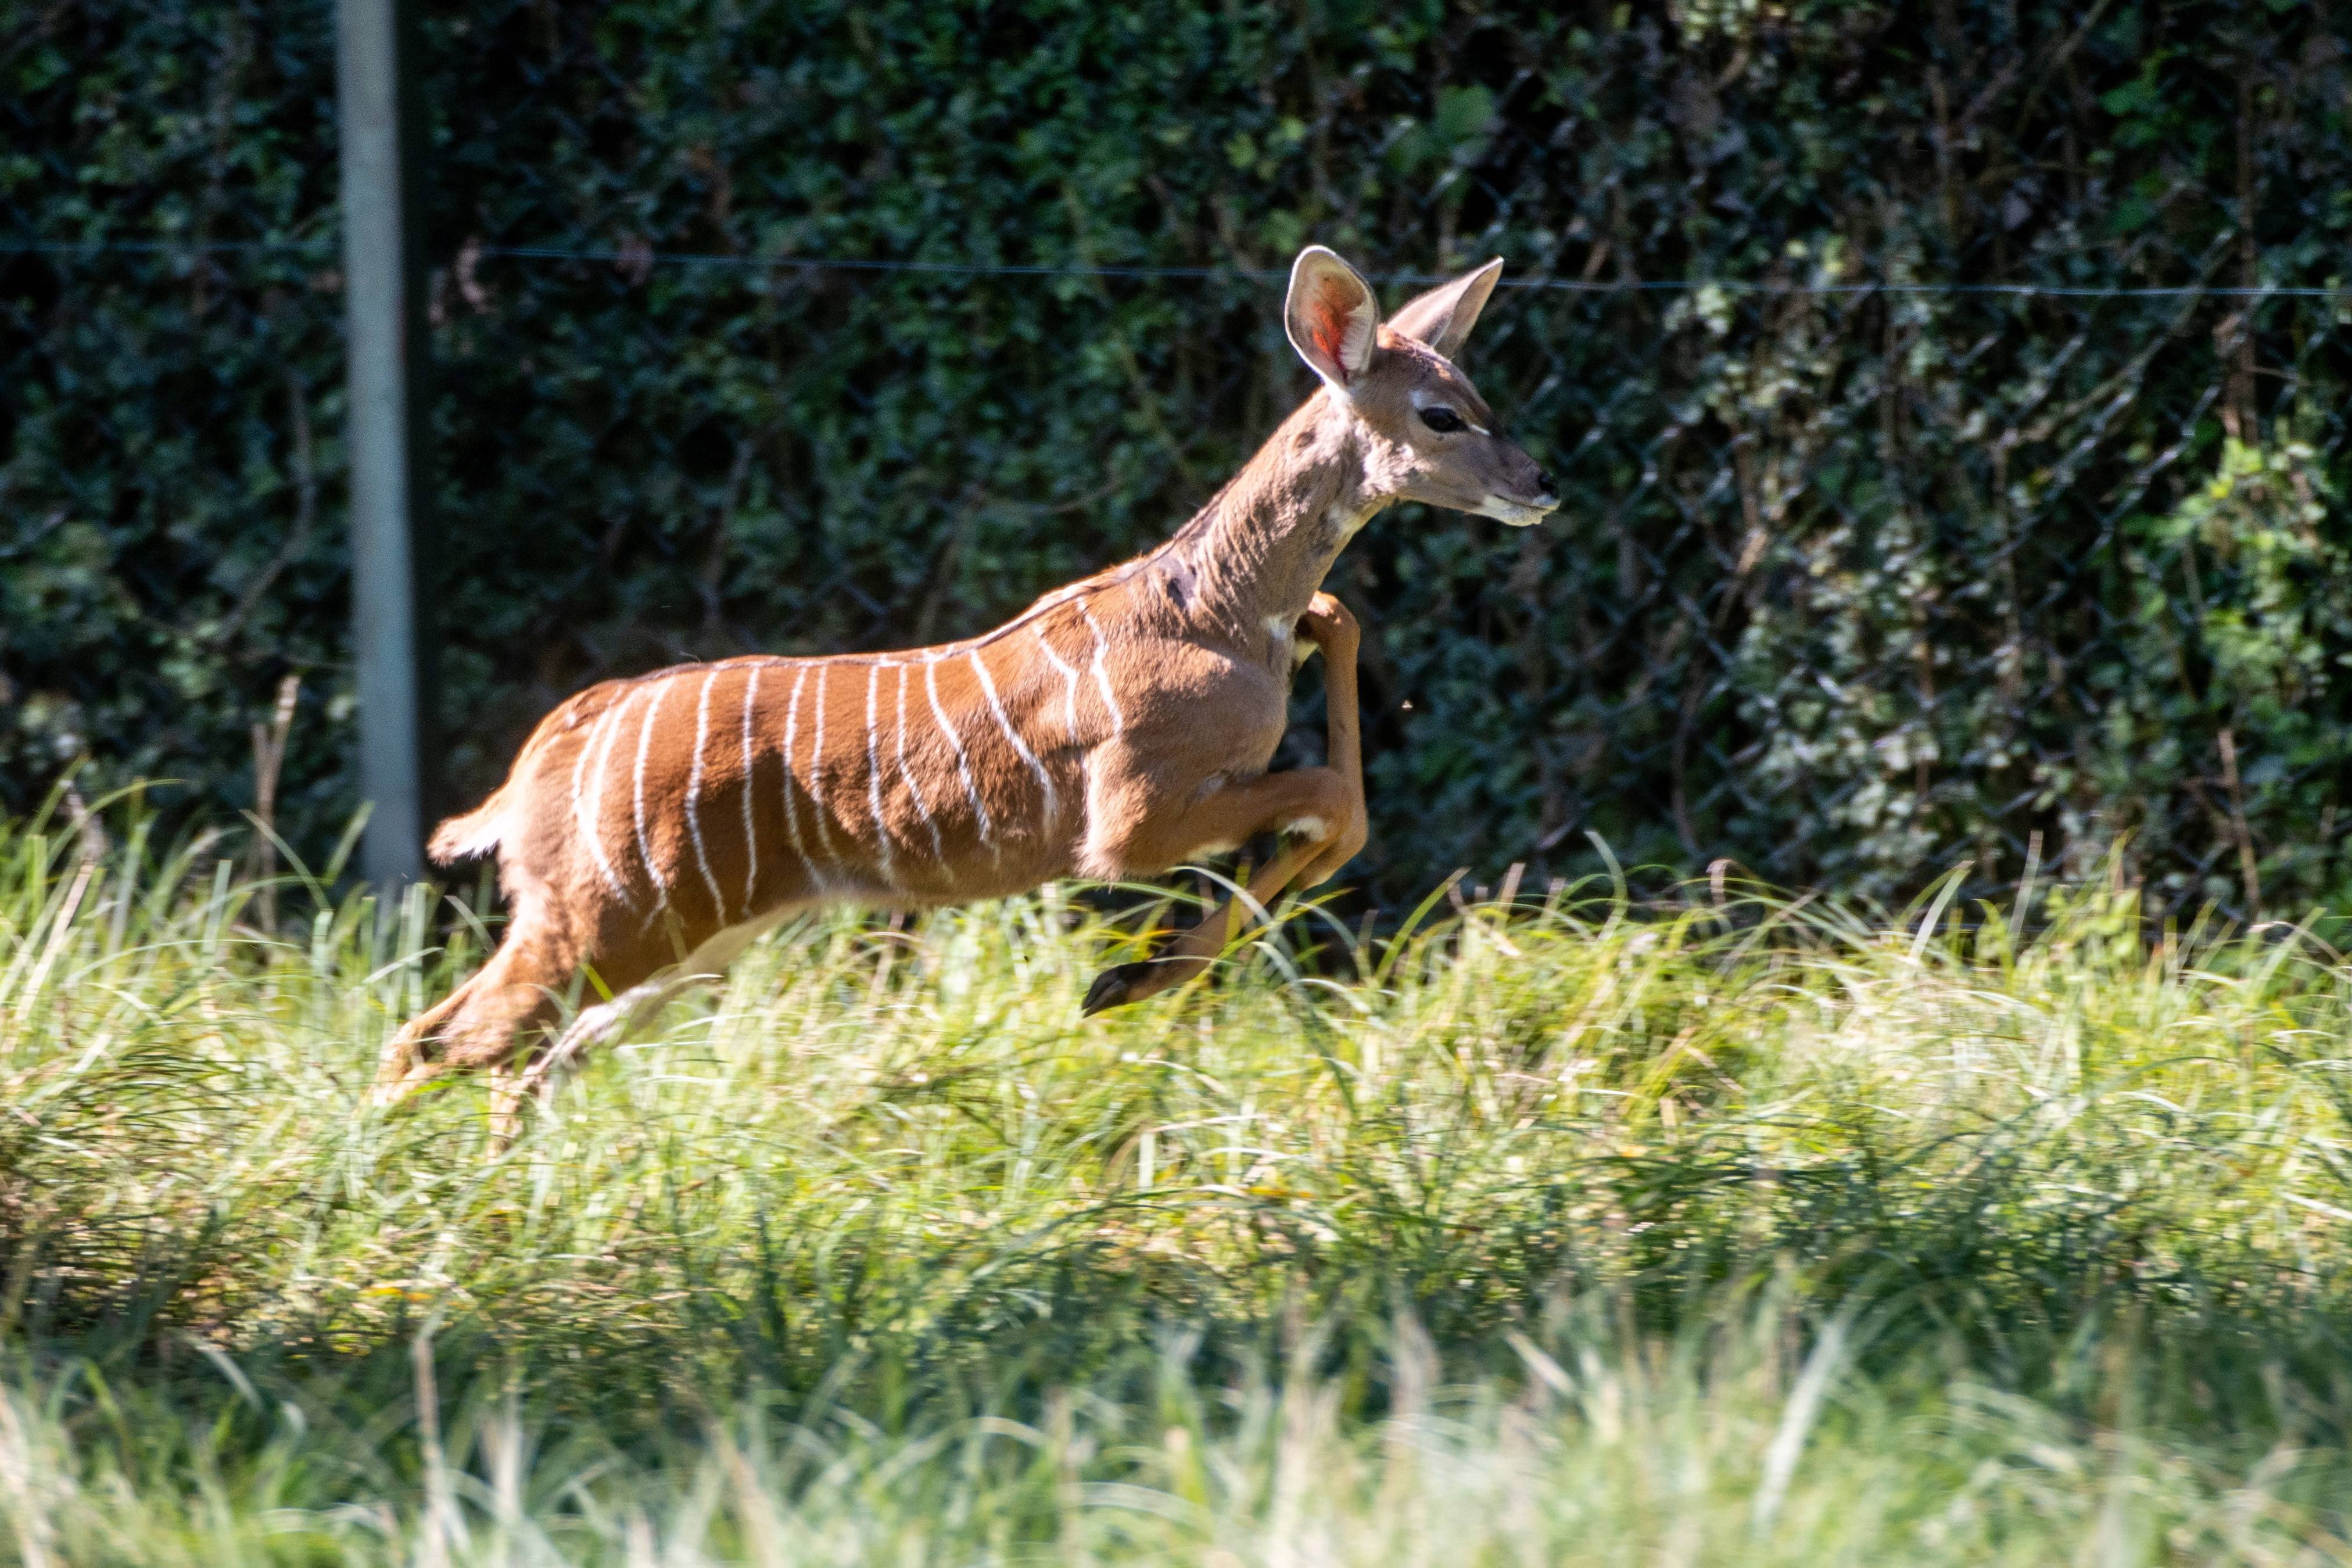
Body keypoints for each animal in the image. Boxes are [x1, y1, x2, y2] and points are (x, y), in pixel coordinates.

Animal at [376, 245, 1561, 1109]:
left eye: (1477, 391)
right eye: (1441, 413)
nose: (1541, 481)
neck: (1218, 611)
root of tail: (549, 752)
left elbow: (1335, 709)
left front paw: (1130, 976)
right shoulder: (1126, 822)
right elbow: (1329, 802)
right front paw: (1126, 979)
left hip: (686, 945)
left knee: (529, 1066)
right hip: (608, 919)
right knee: (429, 1040)